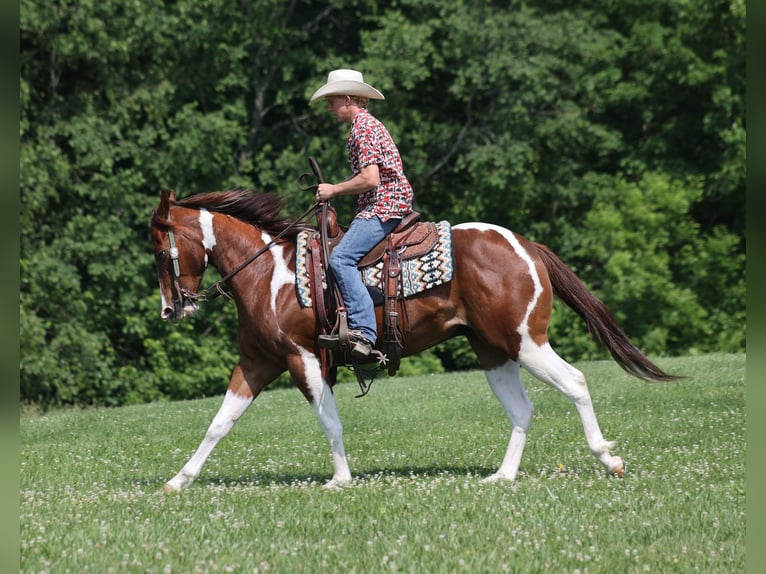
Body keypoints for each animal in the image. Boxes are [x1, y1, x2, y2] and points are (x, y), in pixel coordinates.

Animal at [152, 190, 680, 496]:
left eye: (159, 250)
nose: (171, 309)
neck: (268, 273)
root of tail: (526, 246)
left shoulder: (303, 359)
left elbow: (329, 422)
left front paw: (340, 479)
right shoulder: (256, 363)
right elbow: (219, 424)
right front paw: (178, 480)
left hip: (526, 342)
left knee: (575, 382)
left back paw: (609, 459)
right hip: (494, 352)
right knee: (522, 410)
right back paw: (503, 476)